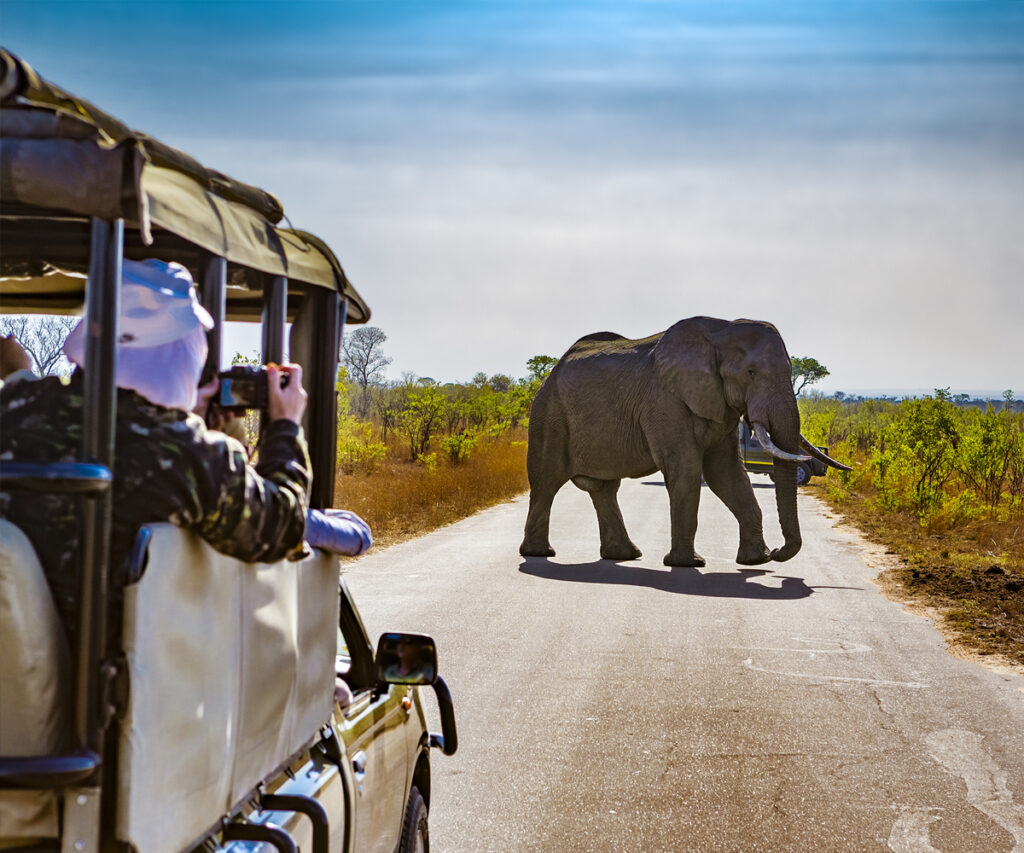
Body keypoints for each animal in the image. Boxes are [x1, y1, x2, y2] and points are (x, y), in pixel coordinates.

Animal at [520, 313, 847, 565]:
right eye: (751, 373)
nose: (780, 551)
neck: (720, 332)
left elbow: (727, 474)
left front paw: (757, 560)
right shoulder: (664, 402)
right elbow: (687, 471)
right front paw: (689, 564)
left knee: (603, 489)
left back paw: (624, 555)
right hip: (549, 415)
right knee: (546, 482)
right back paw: (539, 554)